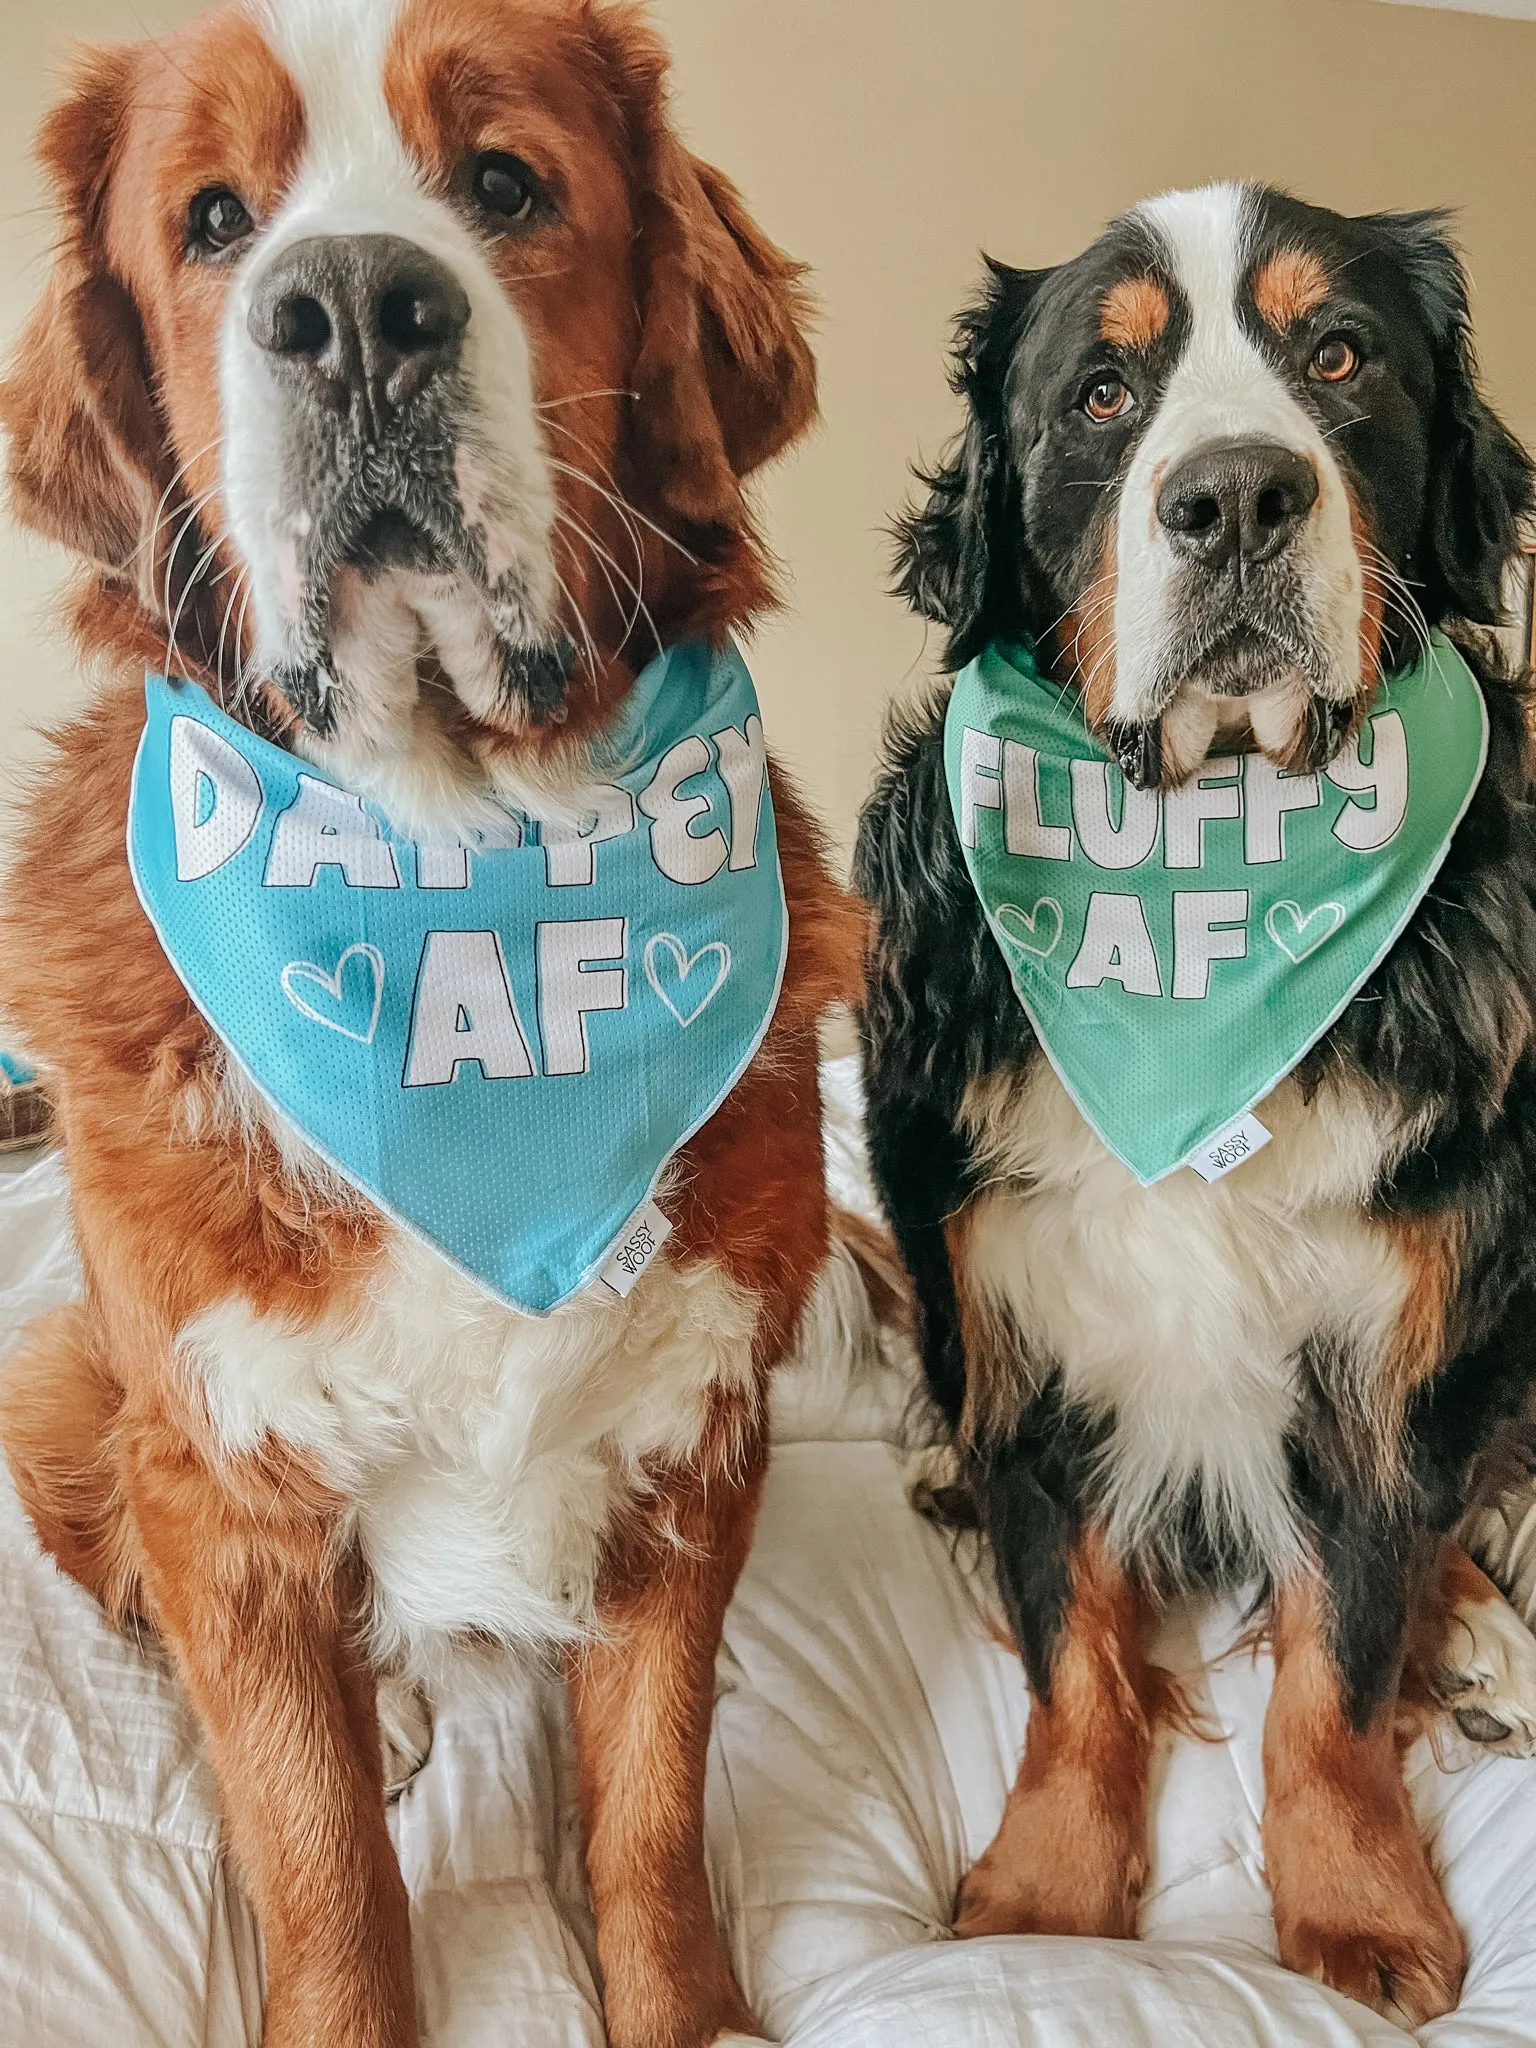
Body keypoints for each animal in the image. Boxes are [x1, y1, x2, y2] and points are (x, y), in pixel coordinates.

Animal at [860, 184, 1536, 2023]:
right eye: (1101, 391)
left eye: (1340, 358)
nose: (1235, 494)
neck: (1201, 854)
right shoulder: (1020, 1327)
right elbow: (1070, 1646)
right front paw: (1046, 1889)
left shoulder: (1387, 1347)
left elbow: (1336, 1658)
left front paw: (1359, 1902)